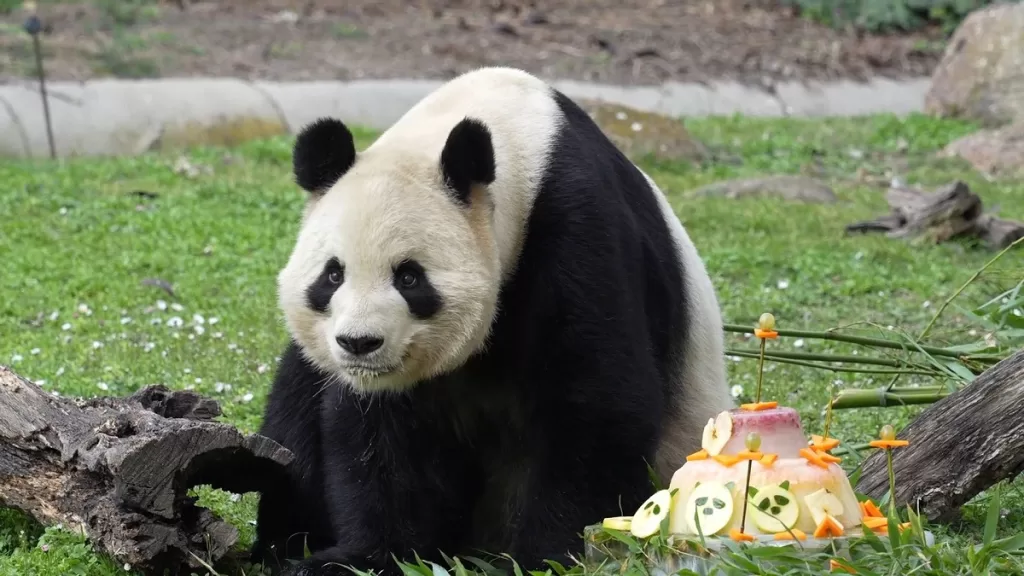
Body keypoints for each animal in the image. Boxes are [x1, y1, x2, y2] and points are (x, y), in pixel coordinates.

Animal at [252, 66, 734, 576]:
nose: (359, 343)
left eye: (409, 277)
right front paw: (362, 557)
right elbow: (377, 434)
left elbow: (598, 399)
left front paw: (543, 556)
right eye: (333, 274)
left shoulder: (578, 230)